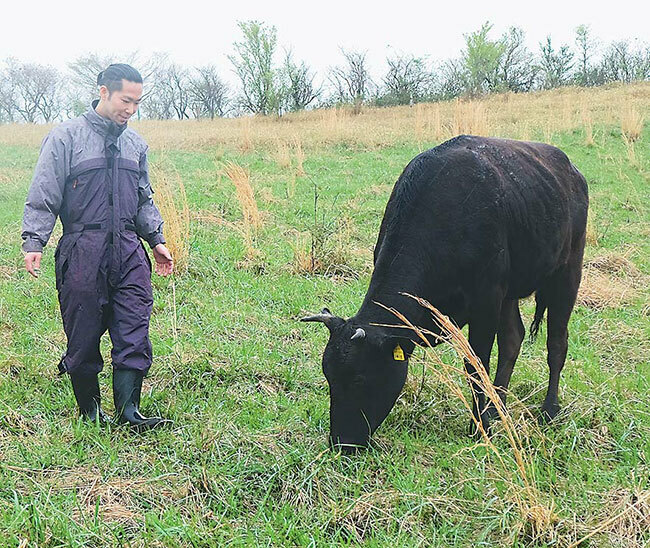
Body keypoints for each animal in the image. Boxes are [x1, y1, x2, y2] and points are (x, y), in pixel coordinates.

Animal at [302, 135, 588, 452]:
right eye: (329, 376)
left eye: (360, 379)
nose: (342, 444)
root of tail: (571, 170)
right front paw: (486, 418)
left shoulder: (486, 301)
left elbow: (476, 367)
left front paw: (480, 428)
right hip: (511, 291)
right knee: (513, 339)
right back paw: (497, 408)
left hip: (567, 271)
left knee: (556, 344)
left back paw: (549, 410)